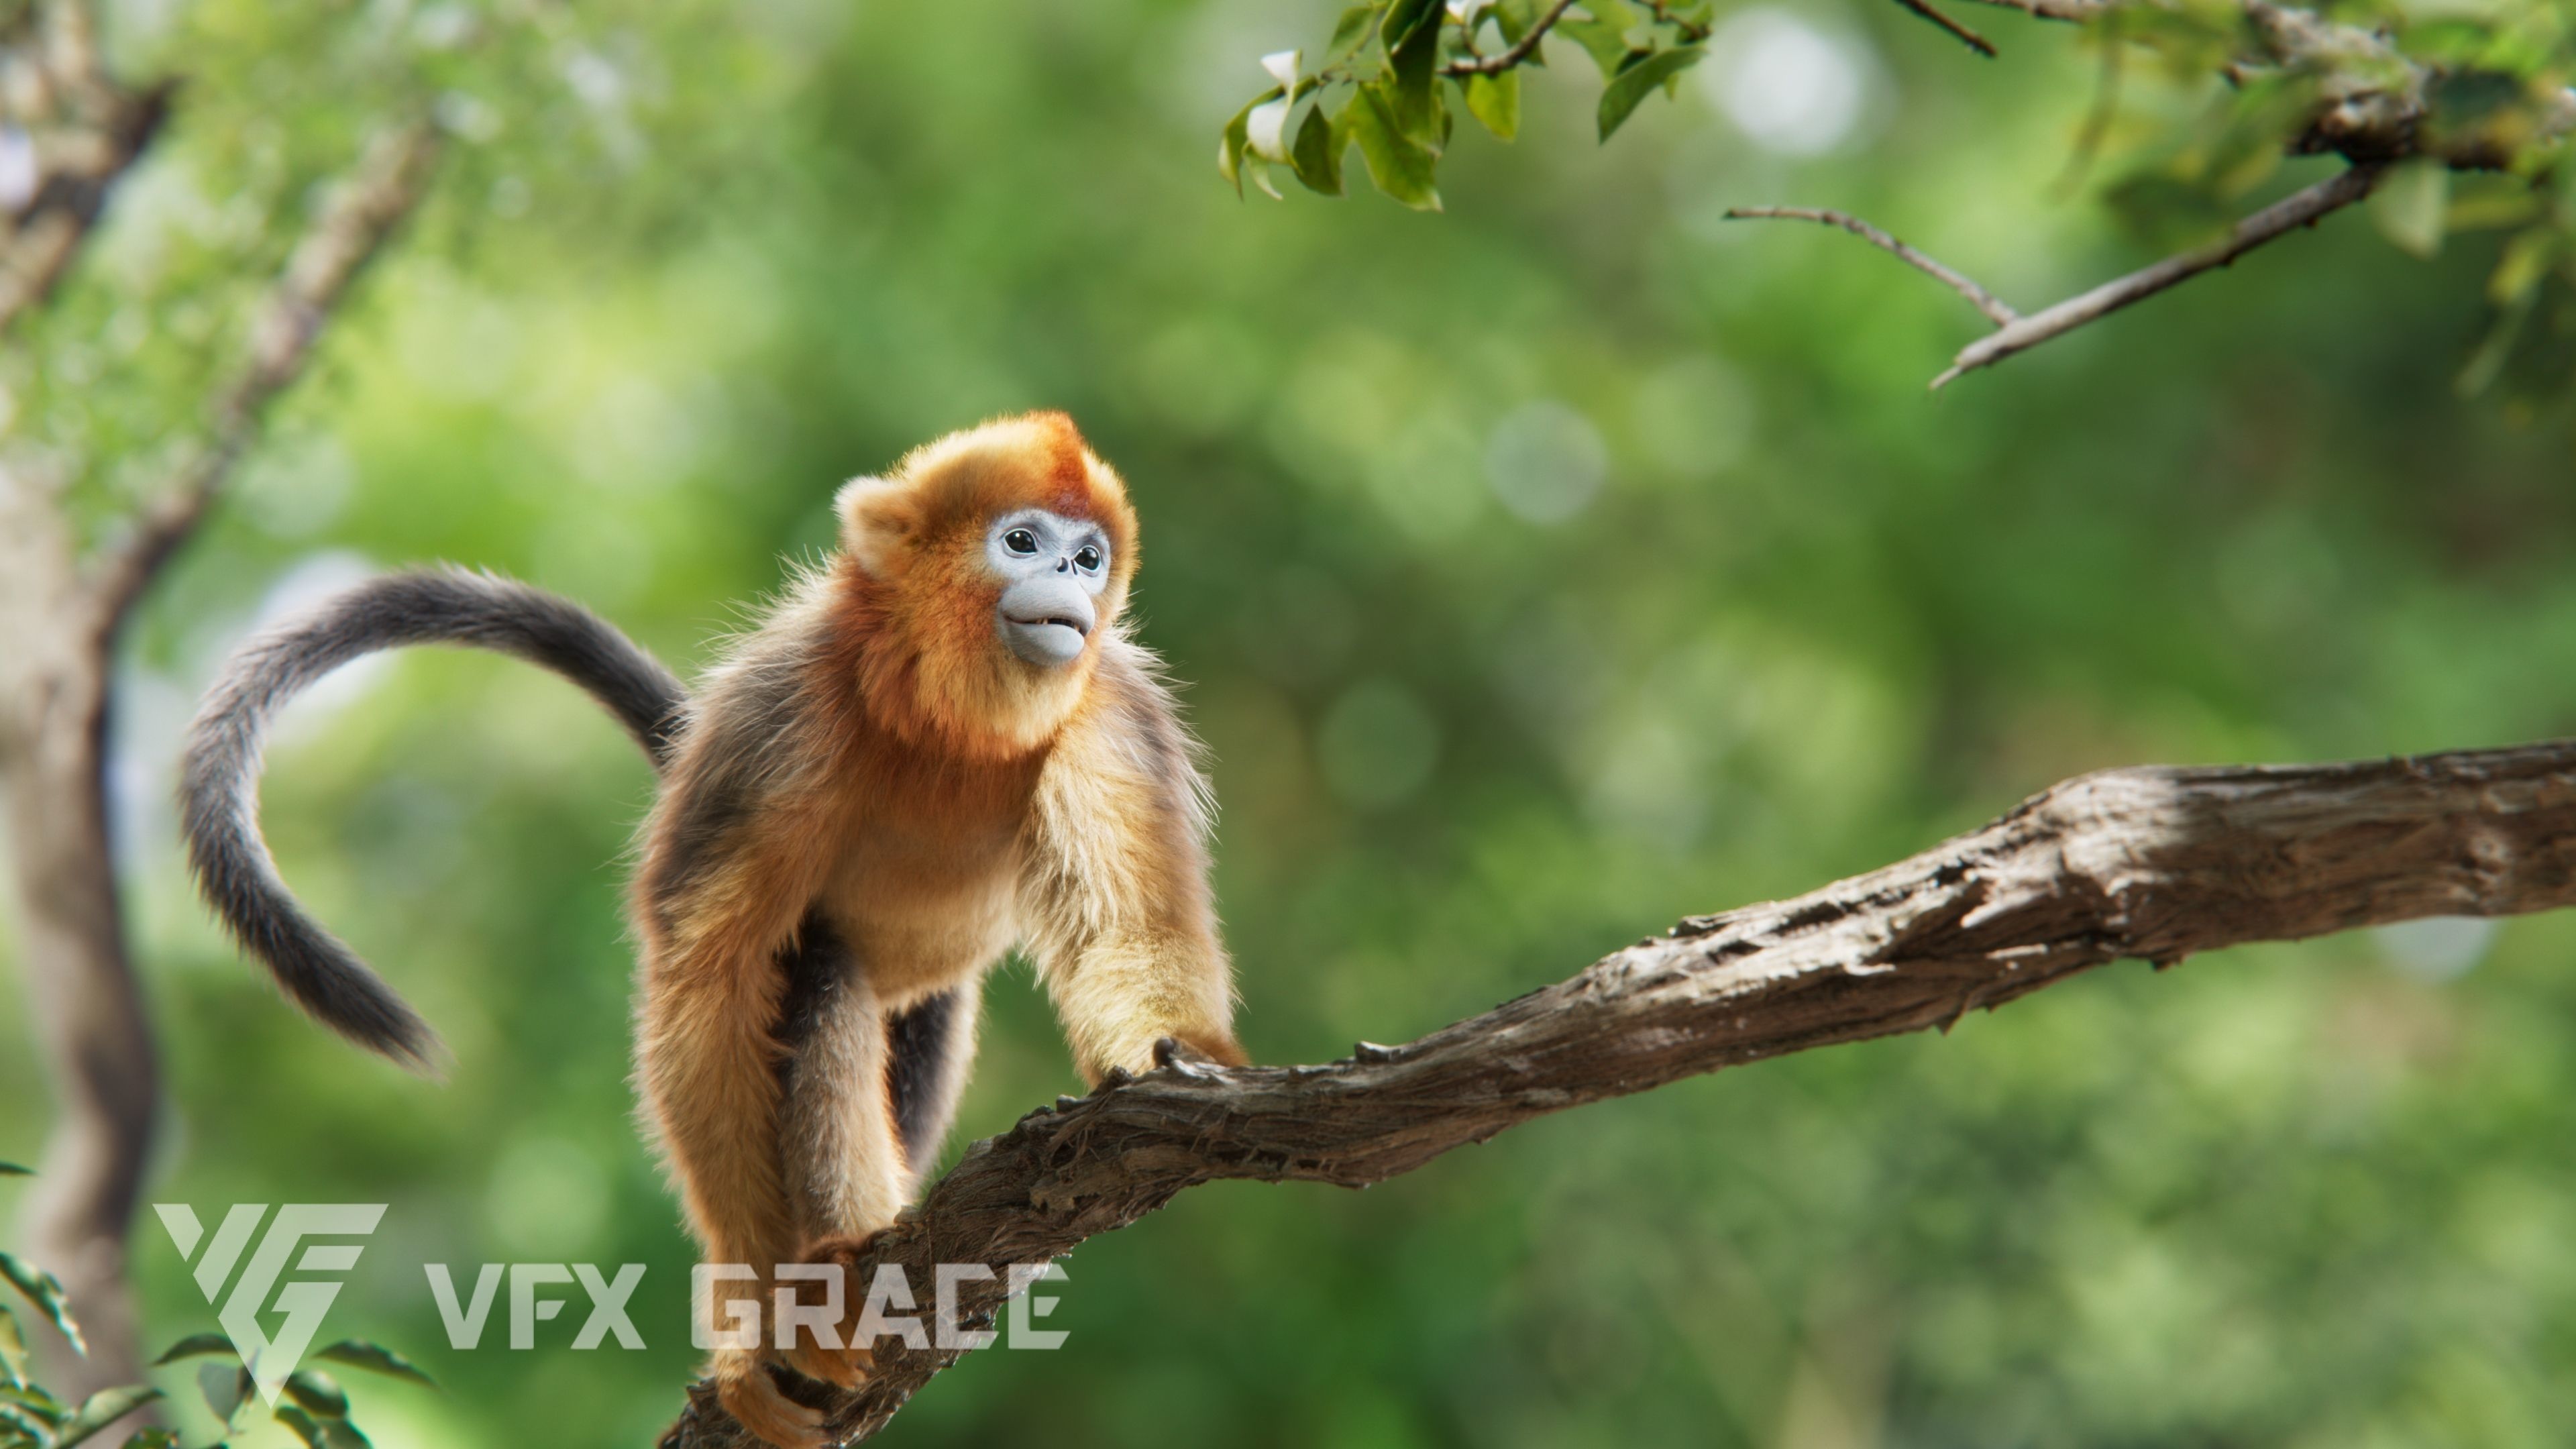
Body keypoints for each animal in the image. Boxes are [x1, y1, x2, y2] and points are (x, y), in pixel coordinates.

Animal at [182, 412, 1246, 1448]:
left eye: (1090, 558)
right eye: (1022, 541)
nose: (1068, 579)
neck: (947, 723)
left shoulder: (1114, 711)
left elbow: (1131, 931)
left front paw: (1186, 1067)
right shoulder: (780, 719)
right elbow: (710, 981)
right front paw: (760, 1320)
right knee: (822, 979)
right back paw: (844, 1250)